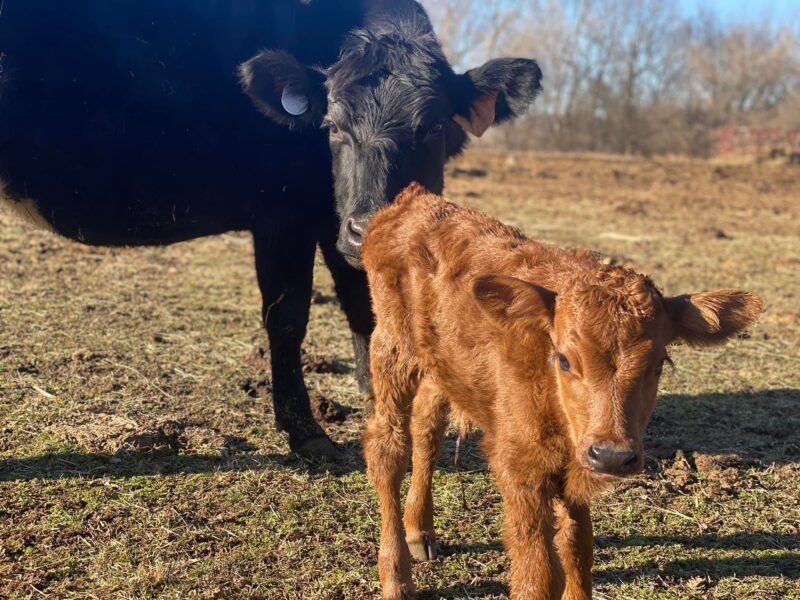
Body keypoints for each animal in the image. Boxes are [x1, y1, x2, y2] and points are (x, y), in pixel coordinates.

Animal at [0, 1, 542, 458]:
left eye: (433, 127)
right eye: (333, 125)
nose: (371, 226)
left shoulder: (332, 222)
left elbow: (363, 310)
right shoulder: (283, 216)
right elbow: (287, 318)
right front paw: (306, 432)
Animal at [361, 184, 763, 599]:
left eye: (659, 365)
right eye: (566, 360)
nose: (613, 455)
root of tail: (414, 200)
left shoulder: (575, 470)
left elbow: (577, 549)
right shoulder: (520, 466)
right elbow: (538, 573)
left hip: (440, 367)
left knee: (427, 429)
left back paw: (420, 531)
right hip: (391, 347)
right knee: (387, 446)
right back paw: (396, 577)